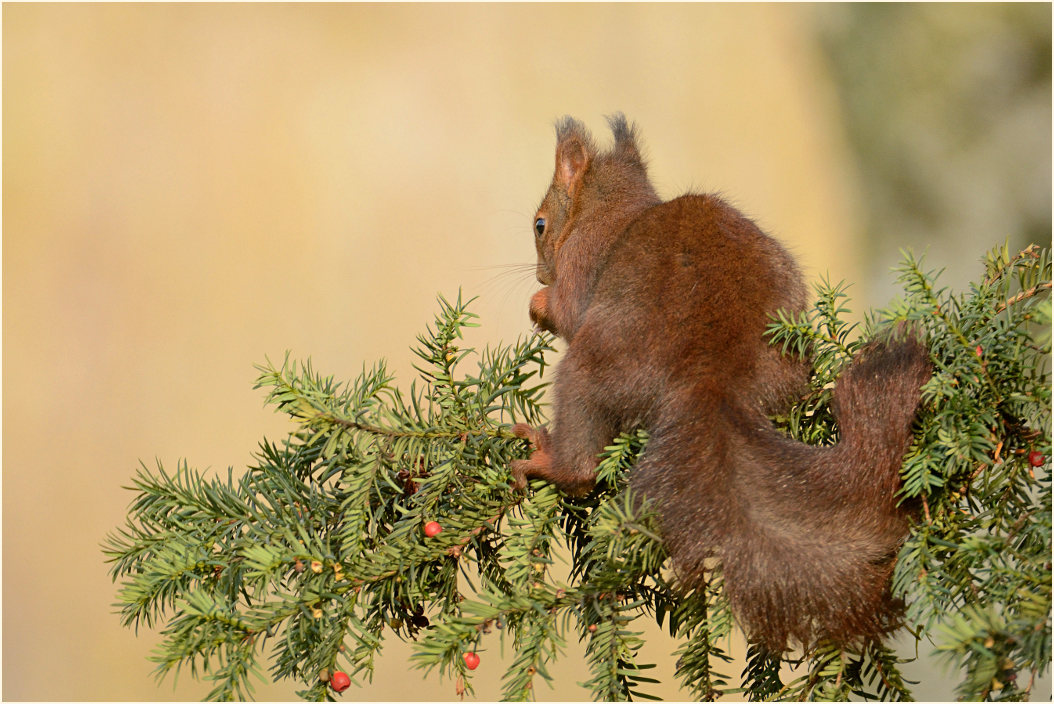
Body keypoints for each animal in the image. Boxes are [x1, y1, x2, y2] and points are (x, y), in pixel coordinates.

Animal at [509, 114, 931, 652]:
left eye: (540, 224)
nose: (542, 272)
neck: (615, 207)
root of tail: (712, 378)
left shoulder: (584, 258)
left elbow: (567, 310)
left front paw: (540, 305)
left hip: (592, 368)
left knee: (582, 457)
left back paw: (546, 457)